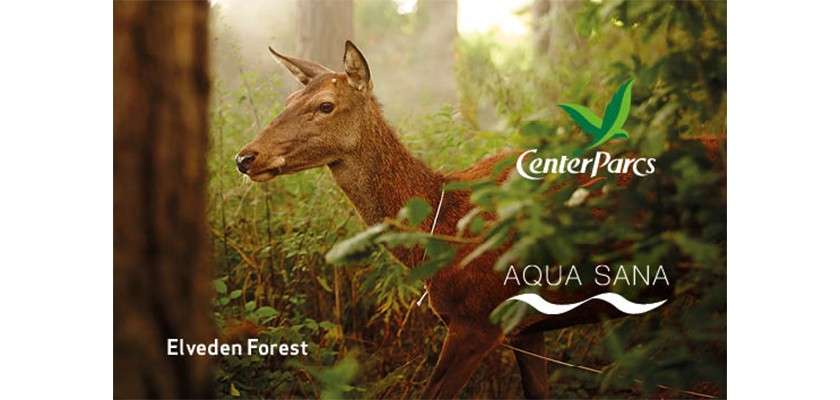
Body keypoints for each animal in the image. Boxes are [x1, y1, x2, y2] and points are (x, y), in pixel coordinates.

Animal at [236, 41, 669, 399]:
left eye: (325, 105)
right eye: (290, 98)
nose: (245, 156)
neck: (440, 227)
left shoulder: (477, 319)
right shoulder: (526, 326)